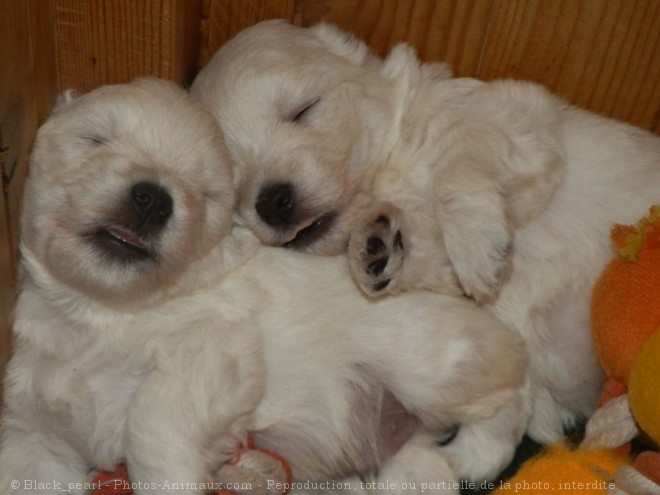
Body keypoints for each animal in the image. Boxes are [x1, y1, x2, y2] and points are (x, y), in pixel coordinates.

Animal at [0, 79, 528, 494]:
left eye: (206, 193)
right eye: (95, 139)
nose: (154, 199)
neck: (97, 312)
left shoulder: (212, 353)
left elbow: (149, 424)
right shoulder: (31, 437)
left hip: (429, 366)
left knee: (510, 392)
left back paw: (475, 453)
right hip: (406, 451)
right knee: (429, 469)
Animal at [189, 19, 660, 446]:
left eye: (304, 109)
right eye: (233, 180)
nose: (272, 201)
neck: (392, 172)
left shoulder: (514, 121)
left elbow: (460, 162)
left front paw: (477, 247)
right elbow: (429, 255)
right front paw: (377, 251)